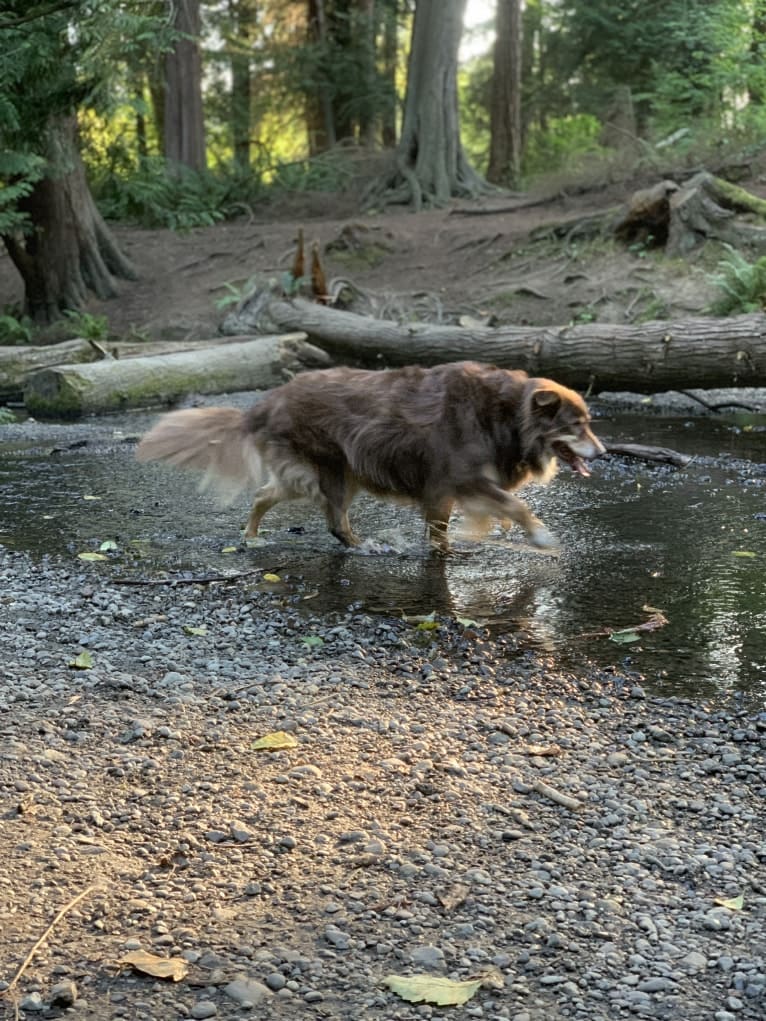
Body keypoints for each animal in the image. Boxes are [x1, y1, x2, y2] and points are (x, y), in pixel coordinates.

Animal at [136, 361, 604, 551]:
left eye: (589, 421)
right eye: (577, 425)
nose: (600, 452)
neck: (505, 413)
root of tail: (266, 403)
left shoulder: (452, 489)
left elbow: (482, 515)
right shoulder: (457, 479)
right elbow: (515, 505)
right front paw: (540, 536)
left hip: (324, 475)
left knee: (265, 495)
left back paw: (252, 535)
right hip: (332, 471)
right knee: (333, 522)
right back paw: (363, 546)